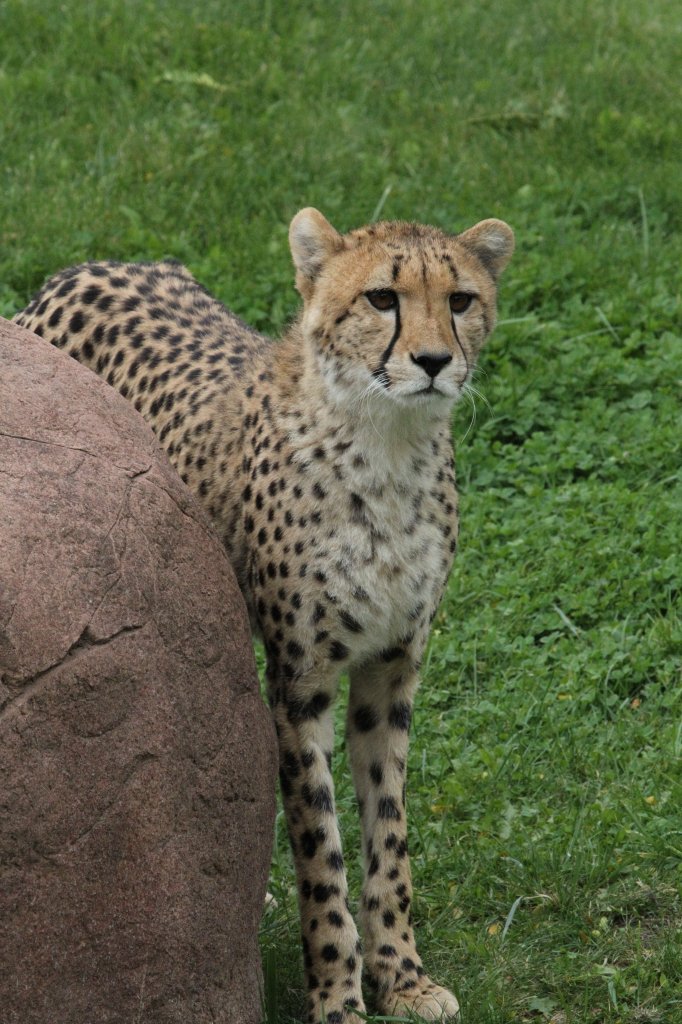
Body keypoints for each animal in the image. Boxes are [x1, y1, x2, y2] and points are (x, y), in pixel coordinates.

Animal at [13, 207, 512, 1024]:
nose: (436, 361)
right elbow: (322, 850)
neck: (386, 447)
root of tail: (90, 264)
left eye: (461, 300)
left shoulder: (391, 671)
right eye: (382, 298)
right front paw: (339, 999)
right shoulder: (300, 681)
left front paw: (403, 978)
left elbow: (388, 838)